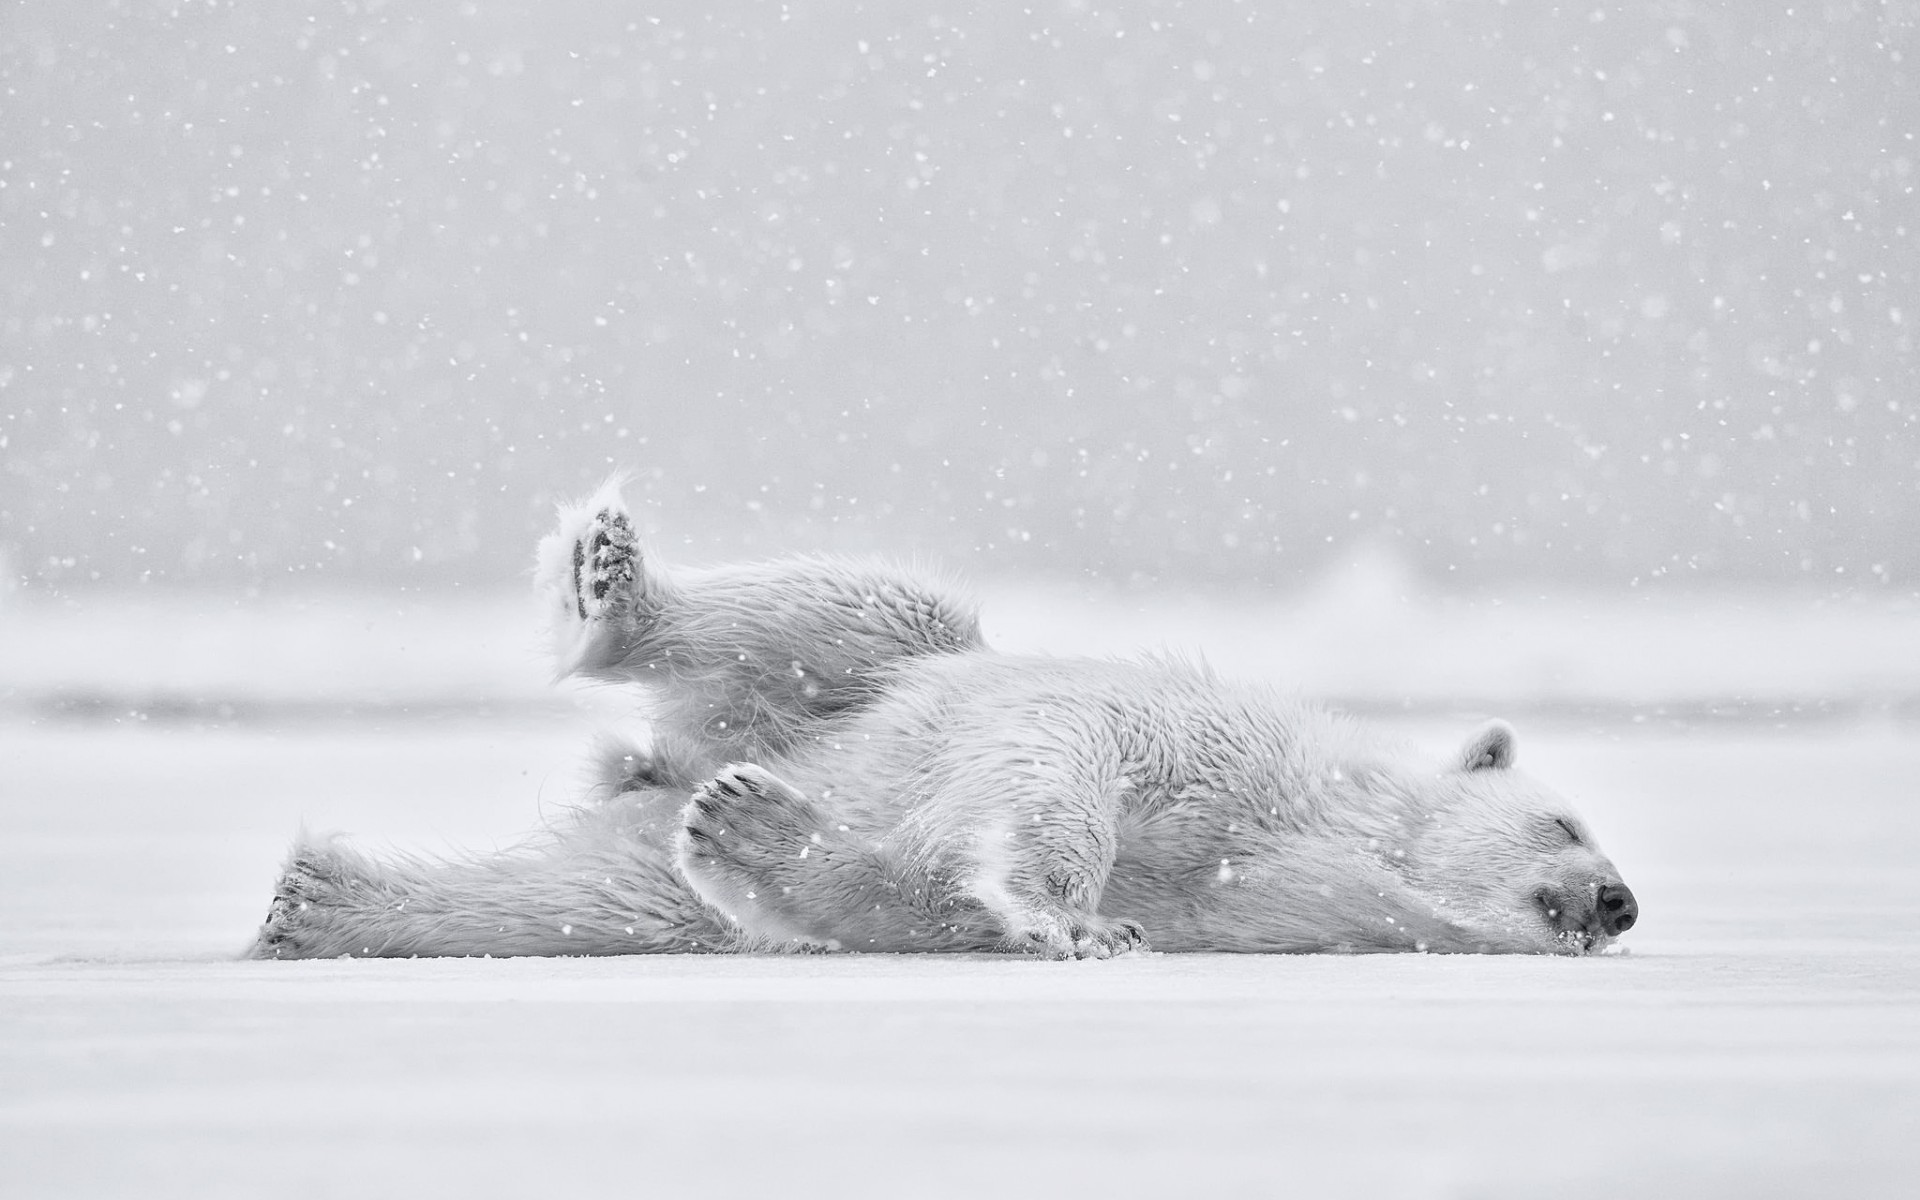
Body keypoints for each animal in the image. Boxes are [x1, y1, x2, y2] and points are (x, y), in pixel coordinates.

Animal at [247, 481, 1643, 960]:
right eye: (1566, 821)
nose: (1620, 901)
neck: (1320, 823)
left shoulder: (1286, 909)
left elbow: (917, 901)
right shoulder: (1208, 745)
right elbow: (1068, 764)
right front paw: (1079, 919)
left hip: (672, 837)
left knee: (587, 896)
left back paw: (319, 900)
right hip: (869, 678)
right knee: (865, 610)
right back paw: (612, 586)